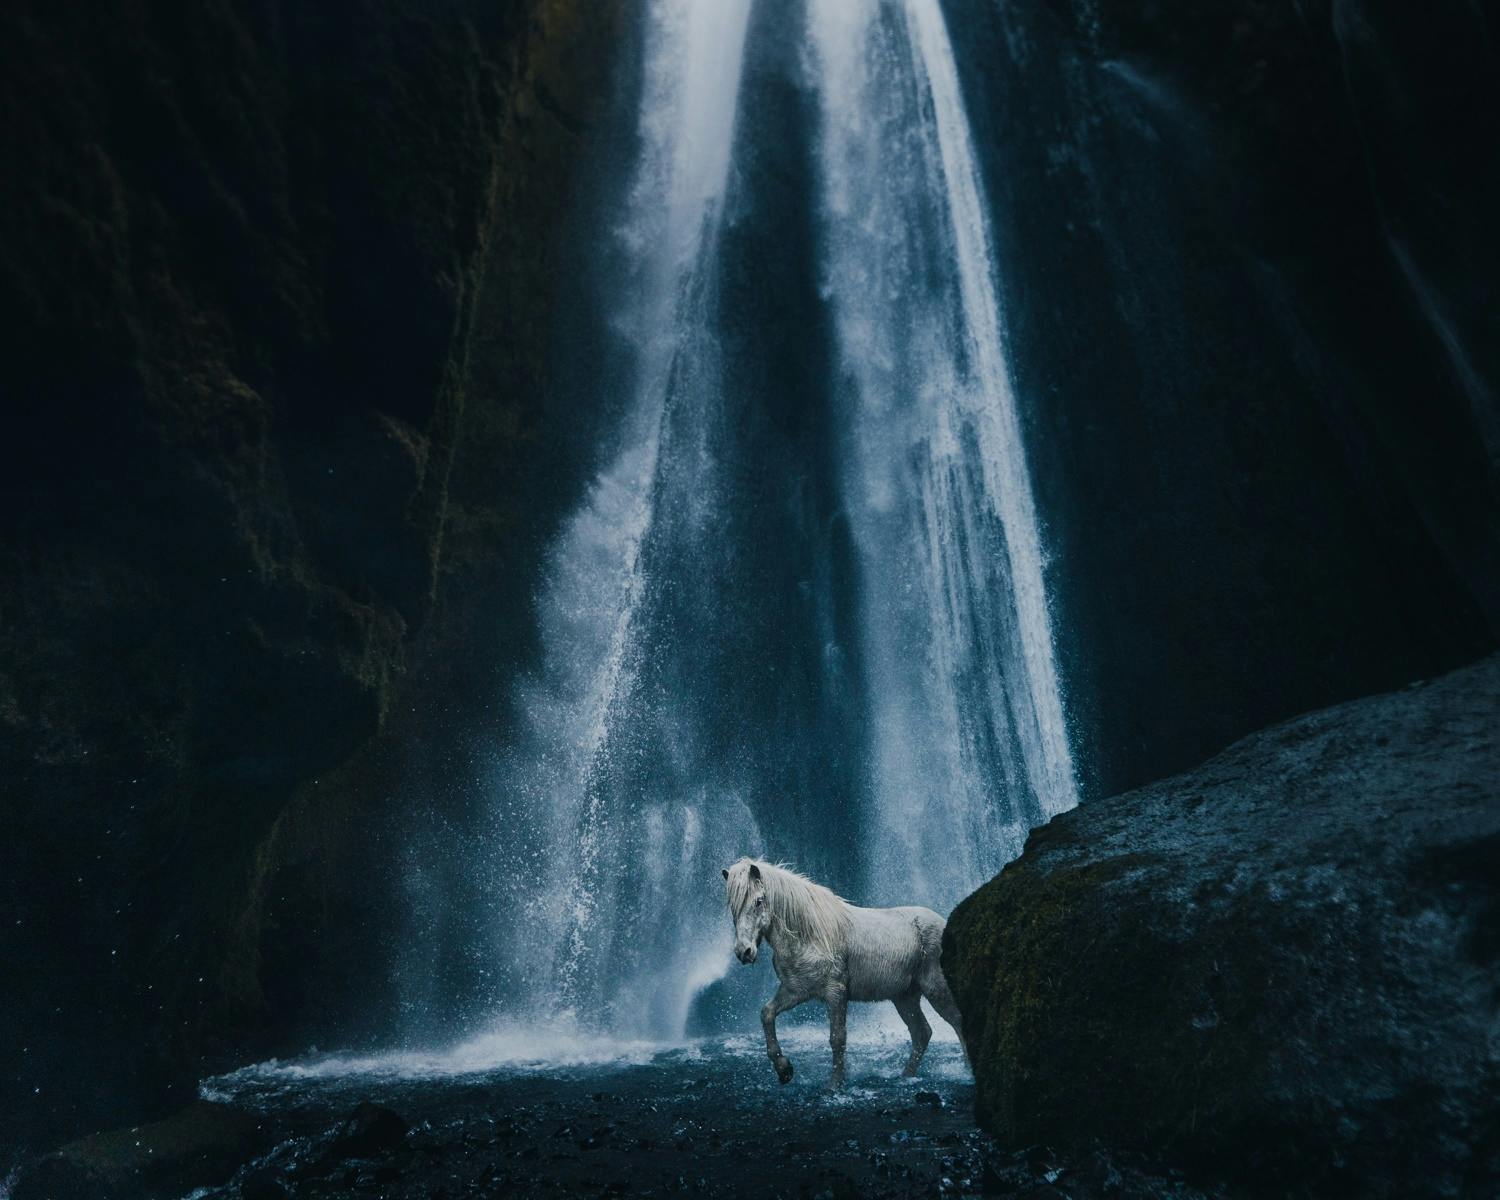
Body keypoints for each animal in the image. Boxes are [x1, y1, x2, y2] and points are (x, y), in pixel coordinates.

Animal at [723, 852, 960, 1086]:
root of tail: (944, 923)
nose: (744, 951)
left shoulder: (836, 994)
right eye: (733, 908)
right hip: (904, 998)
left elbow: (837, 1038)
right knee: (922, 1033)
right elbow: (767, 1014)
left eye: (758, 901)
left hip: (937, 992)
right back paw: (905, 1076)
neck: (810, 935)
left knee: (956, 1023)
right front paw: (784, 1069)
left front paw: (834, 1086)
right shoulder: (795, 991)